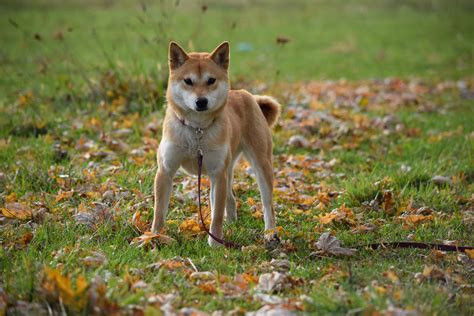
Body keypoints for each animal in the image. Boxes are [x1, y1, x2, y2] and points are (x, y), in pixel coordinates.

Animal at [151, 40, 282, 247]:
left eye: (211, 80)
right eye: (188, 81)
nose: (201, 101)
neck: (196, 130)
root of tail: (248, 95)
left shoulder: (217, 175)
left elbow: (216, 215)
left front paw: (215, 244)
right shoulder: (166, 171)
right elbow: (159, 212)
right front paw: (155, 237)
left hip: (260, 166)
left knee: (268, 205)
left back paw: (270, 233)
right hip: (227, 169)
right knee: (231, 198)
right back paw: (232, 224)